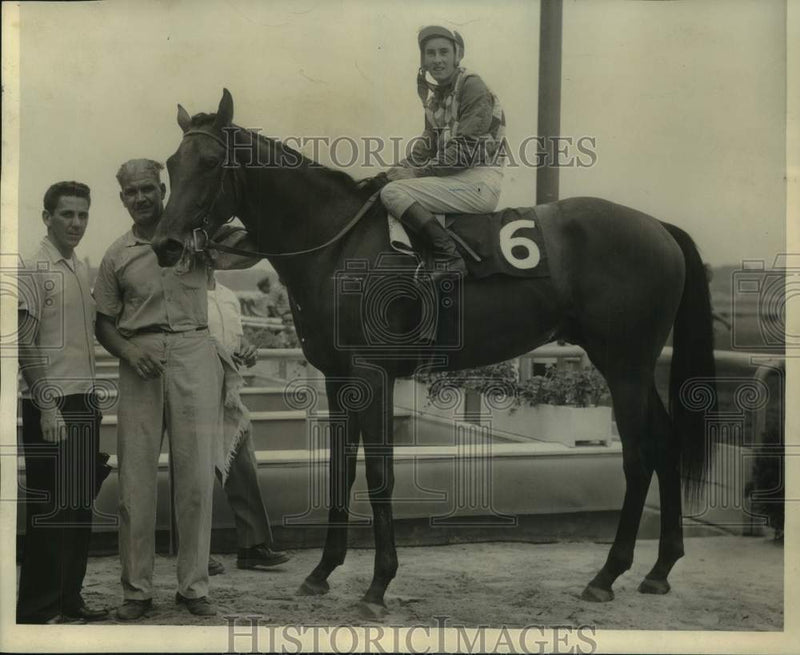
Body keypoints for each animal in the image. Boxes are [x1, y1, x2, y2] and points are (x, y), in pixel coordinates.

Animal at [152, 89, 716, 617]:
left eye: (209, 162)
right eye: (170, 164)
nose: (165, 244)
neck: (336, 244)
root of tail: (659, 228)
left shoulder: (373, 373)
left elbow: (379, 473)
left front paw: (378, 585)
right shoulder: (337, 376)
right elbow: (339, 470)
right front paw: (322, 572)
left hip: (624, 365)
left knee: (638, 454)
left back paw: (607, 574)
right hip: (633, 366)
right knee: (665, 442)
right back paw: (659, 570)